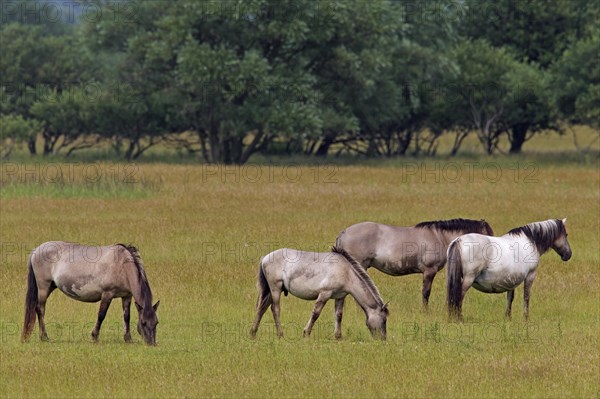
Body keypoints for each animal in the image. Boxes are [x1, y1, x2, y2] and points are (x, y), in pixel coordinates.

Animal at [22, 242, 161, 346]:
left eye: (156, 322)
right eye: (143, 322)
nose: (152, 343)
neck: (122, 265)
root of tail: (36, 250)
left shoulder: (126, 296)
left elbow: (126, 317)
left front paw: (128, 339)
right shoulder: (107, 294)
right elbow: (101, 315)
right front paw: (94, 337)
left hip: (51, 286)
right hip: (43, 287)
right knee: (40, 309)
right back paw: (44, 337)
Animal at [248, 247, 390, 340]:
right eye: (384, 320)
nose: (382, 339)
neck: (346, 272)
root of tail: (265, 257)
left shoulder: (340, 296)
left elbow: (339, 315)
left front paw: (338, 336)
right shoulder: (324, 294)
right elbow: (316, 314)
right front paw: (306, 333)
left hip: (271, 291)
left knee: (262, 308)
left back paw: (253, 333)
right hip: (275, 289)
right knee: (275, 309)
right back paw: (280, 334)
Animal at [336, 219, 494, 310]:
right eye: (488, 234)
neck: (439, 237)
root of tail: (344, 233)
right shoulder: (429, 271)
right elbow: (426, 292)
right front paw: (425, 311)